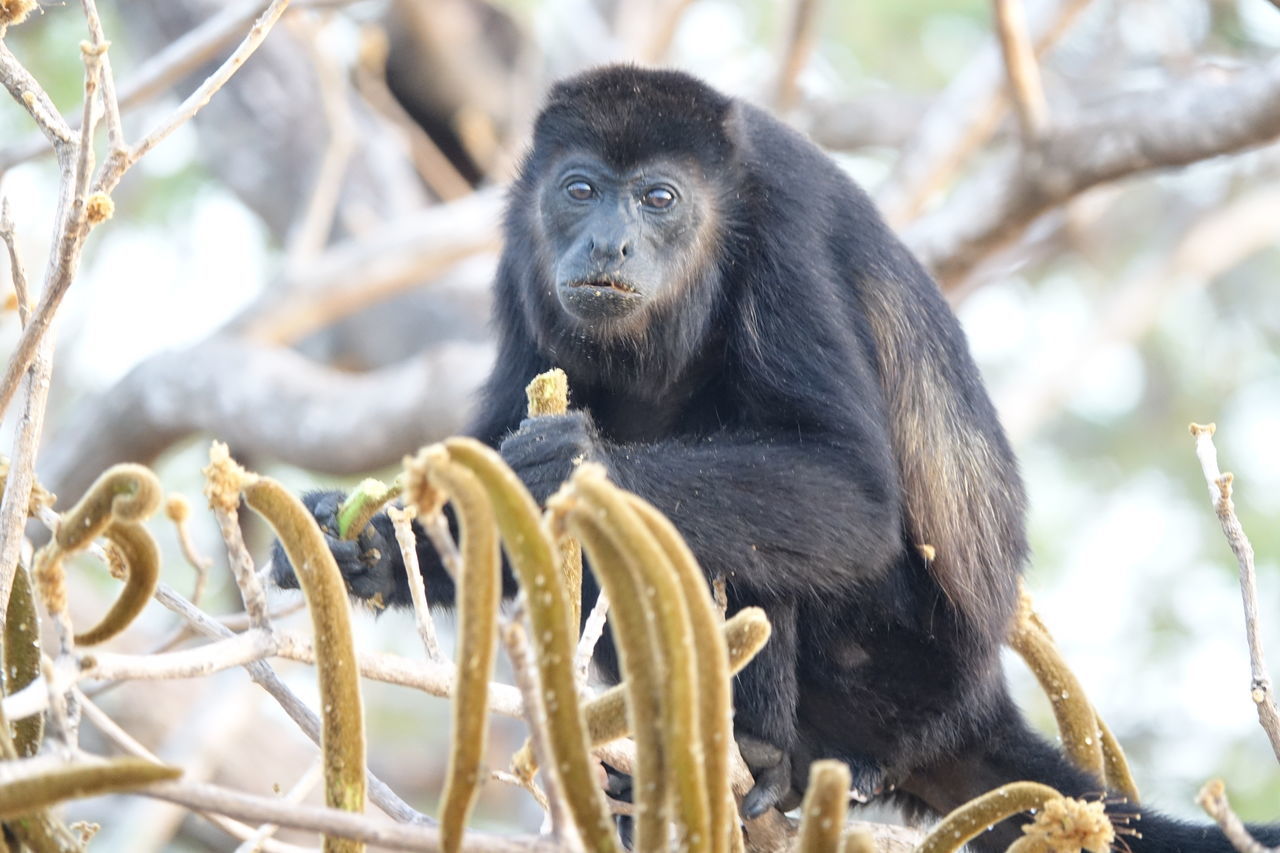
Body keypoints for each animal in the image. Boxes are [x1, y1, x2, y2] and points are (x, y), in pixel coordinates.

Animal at [275, 66, 1274, 850]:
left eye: (659, 199)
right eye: (579, 189)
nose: (607, 242)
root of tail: (974, 703)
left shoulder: (783, 234)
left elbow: (852, 490)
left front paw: (576, 462)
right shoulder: (520, 263)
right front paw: (359, 542)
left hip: (893, 669)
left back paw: (758, 757)